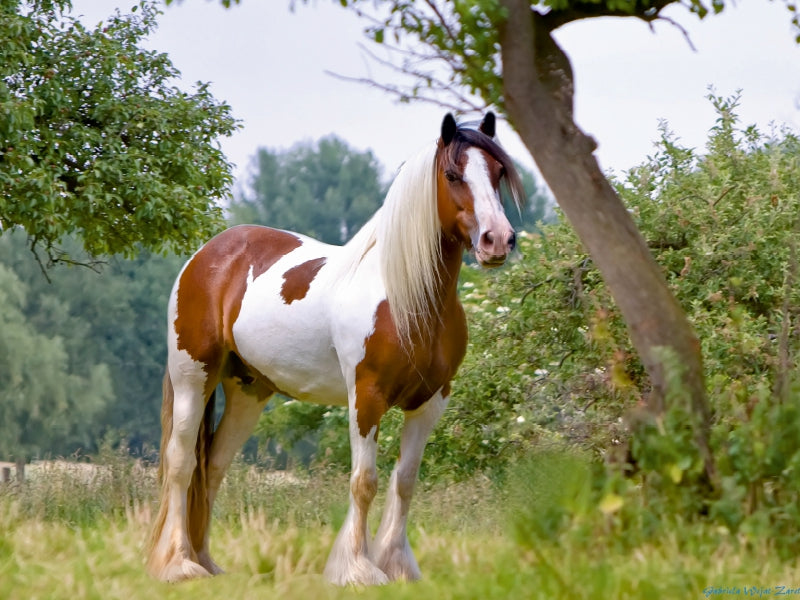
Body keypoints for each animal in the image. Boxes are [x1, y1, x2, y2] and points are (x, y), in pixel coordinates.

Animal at [146, 112, 524, 584]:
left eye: (498, 172)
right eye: (454, 175)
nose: (498, 240)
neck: (407, 297)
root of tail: (207, 255)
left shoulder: (431, 402)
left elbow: (405, 481)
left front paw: (396, 565)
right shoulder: (366, 397)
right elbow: (365, 481)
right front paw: (358, 569)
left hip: (248, 390)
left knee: (212, 466)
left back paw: (207, 562)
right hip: (192, 377)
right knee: (182, 463)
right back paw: (179, 564)